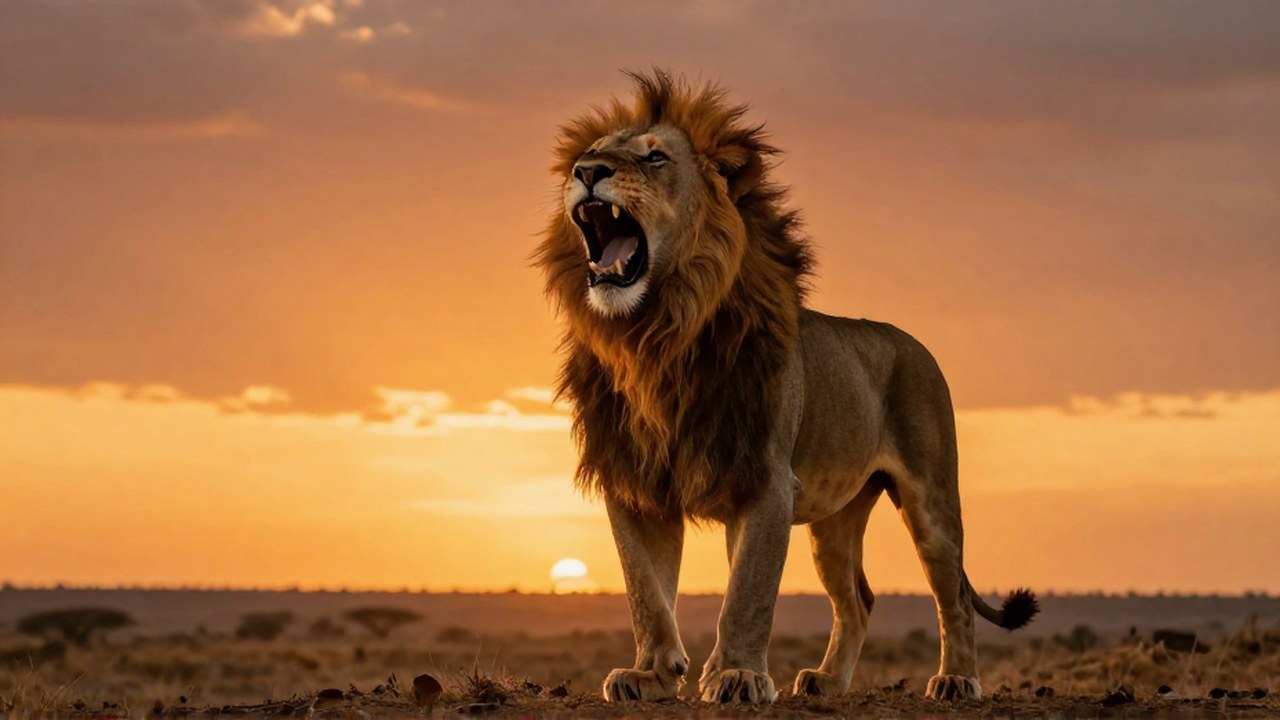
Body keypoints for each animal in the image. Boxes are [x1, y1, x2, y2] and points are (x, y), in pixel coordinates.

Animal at [534, 70, 1038, 704]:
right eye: (592, 151)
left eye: (654, 157)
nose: (585, 170)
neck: (656, 336)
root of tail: (912, 342)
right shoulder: (635, 480)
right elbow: (644, 590)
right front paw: (650, 674)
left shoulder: (767, 479)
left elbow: (748, 592)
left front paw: (738, 676)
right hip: (836, 518)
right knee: (858, 600)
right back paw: (826, 681)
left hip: (932, 500)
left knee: (955, 601)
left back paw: (955, 679)